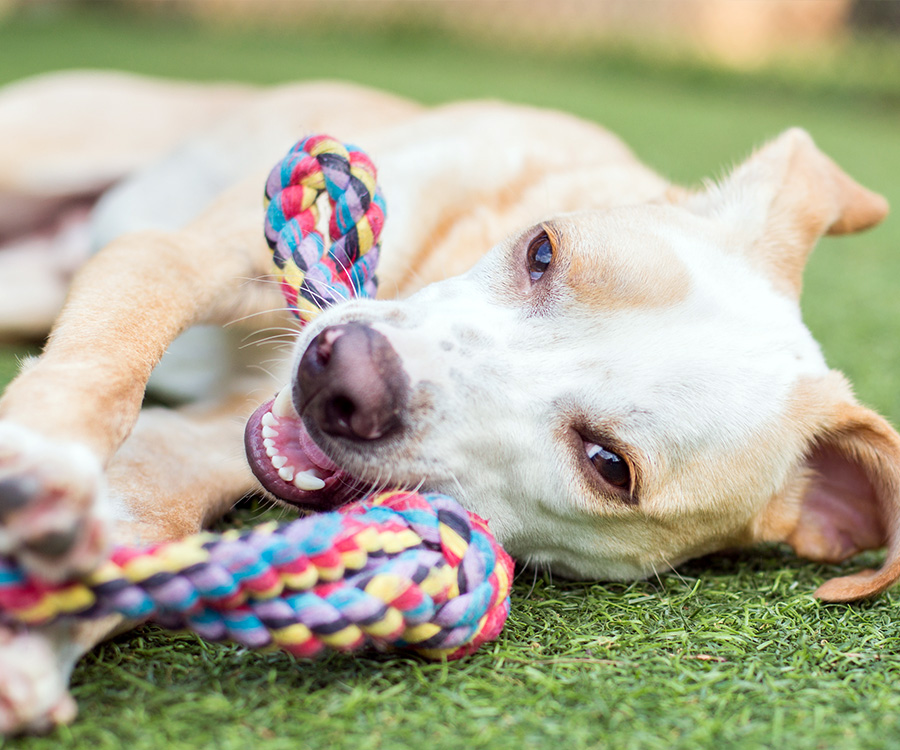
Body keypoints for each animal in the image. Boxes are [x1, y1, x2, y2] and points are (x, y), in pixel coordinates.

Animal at [0, 72, 892, 736]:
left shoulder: (221, 435)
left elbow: (147, 506)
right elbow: (106, 366)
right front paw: (41, 457)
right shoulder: (170, 258)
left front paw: (36, 630)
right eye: (542, 251)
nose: (343, 377)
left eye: (609, 465)